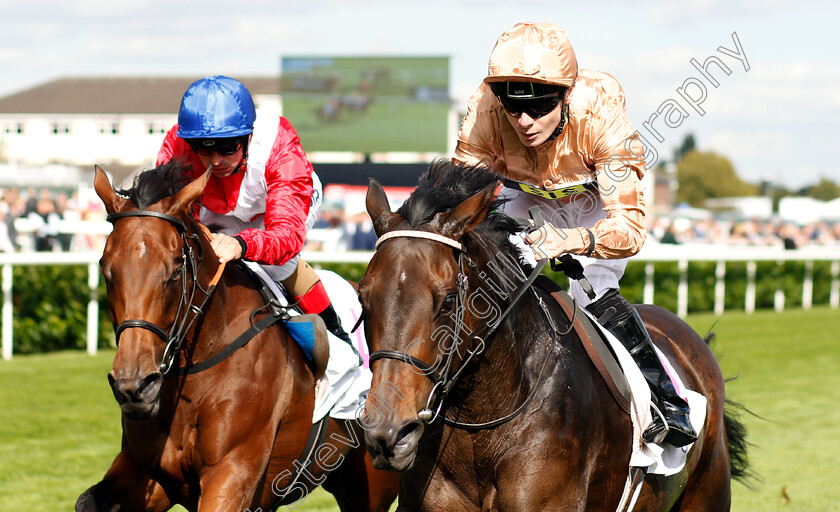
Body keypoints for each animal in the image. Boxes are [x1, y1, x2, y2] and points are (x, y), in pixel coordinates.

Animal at [75, 163, 398, 512]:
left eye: (175, 272)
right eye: (106, 270)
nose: (134, 385)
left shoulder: (232, 473)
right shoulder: (146, 472)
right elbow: (87, 501)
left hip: (369, 482)